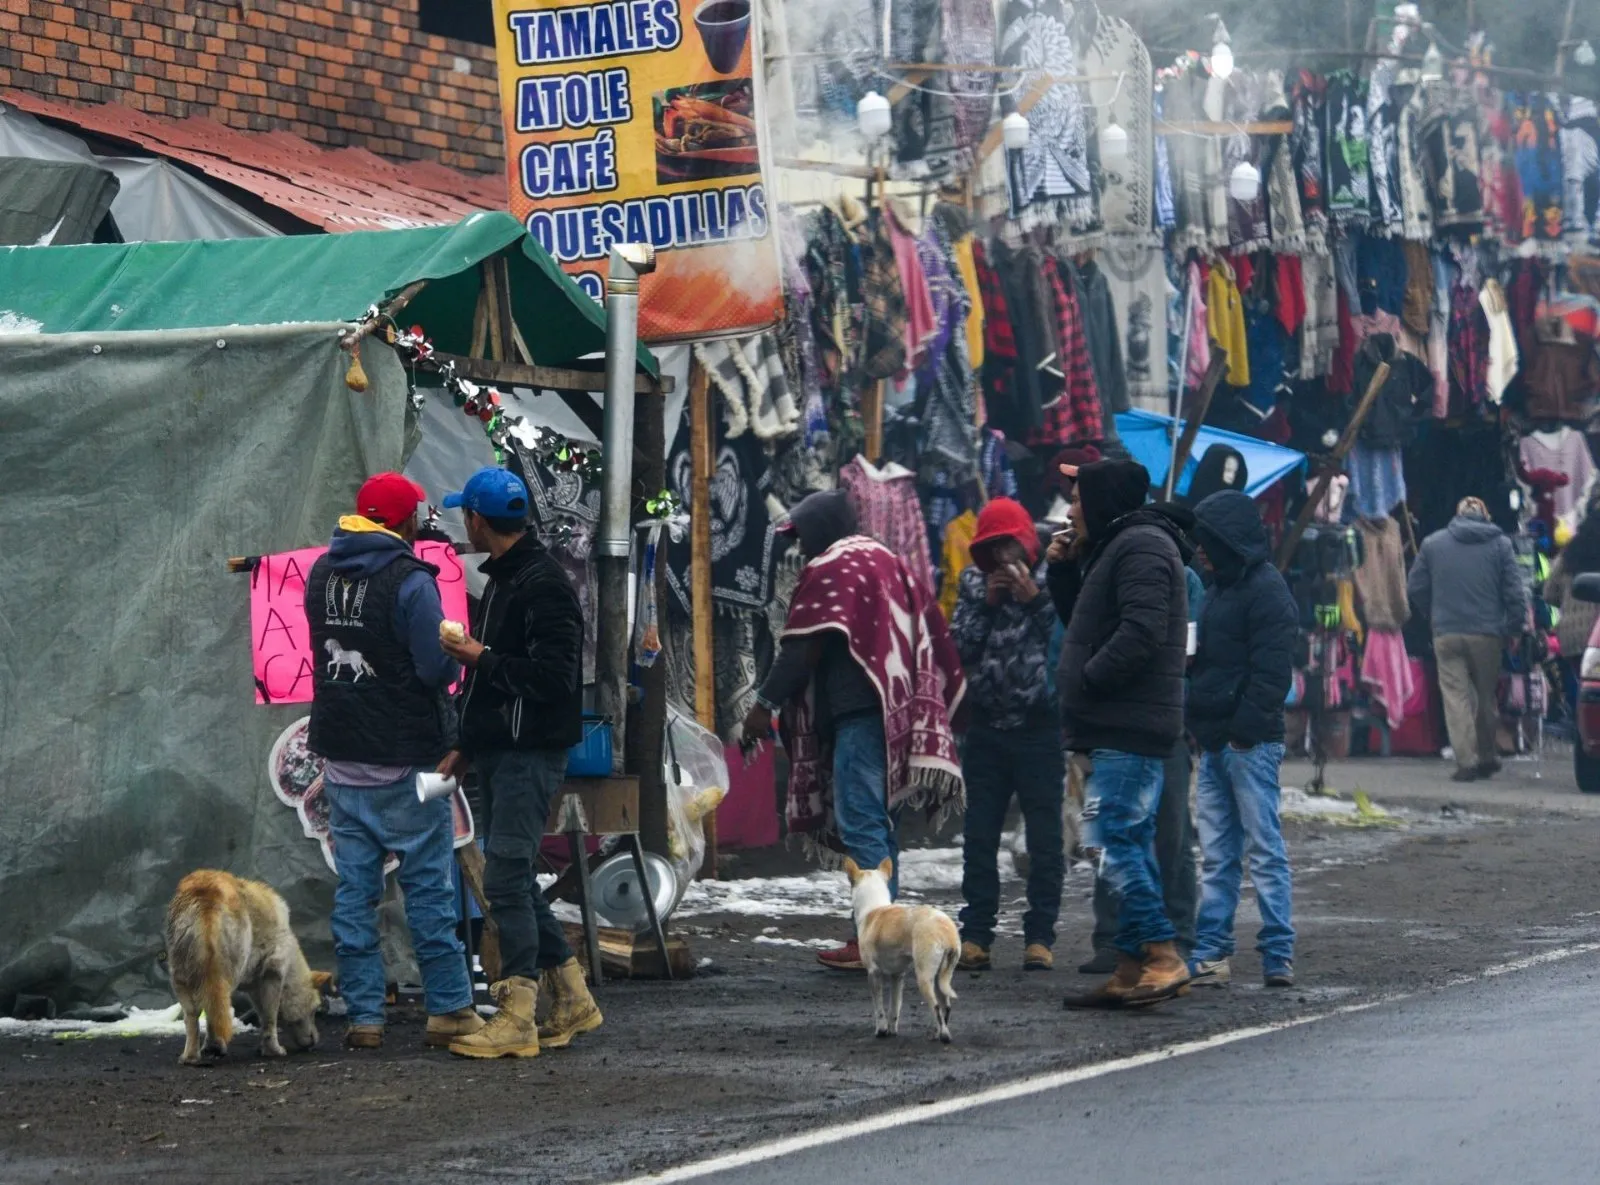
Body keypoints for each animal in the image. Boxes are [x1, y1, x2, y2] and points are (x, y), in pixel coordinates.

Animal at [165, 869, 328, 1061]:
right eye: (315, 1010)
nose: (315, 1040)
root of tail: (205, 892)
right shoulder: (272, 973)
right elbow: (269, 1017)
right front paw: (273, 1050)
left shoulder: (255, 985)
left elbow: (262, 1015)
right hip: (227, 973)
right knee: (216, 1010)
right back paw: (215, 1047)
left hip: (181, 975)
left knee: (193, 1016)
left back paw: (191, 1057)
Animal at [844, 857, 953, 1042]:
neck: (873, 908)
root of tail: (944, 929)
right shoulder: (898, 976)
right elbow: (894, 1007)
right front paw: (892, 1031)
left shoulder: (873, 973)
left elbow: (879, 1009)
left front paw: (881, 1031)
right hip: (942, 977)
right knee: (946, 1007)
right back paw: (938, 1032)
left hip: (924, 977)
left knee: (936, 1007)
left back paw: (943, 1035)